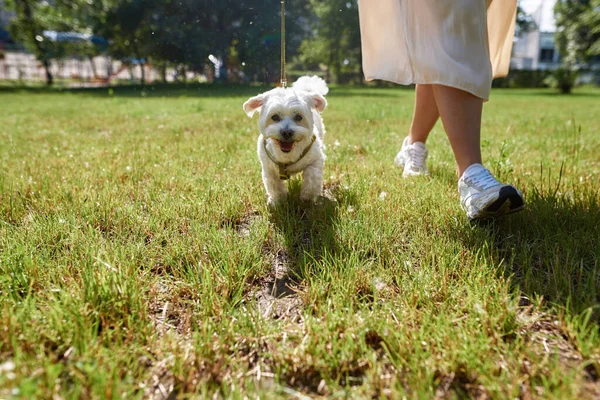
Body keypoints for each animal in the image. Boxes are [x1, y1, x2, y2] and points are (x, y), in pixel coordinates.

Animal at [243, 76, 328, 205]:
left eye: (298, 117)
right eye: (275, 117)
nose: (287, 132)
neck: (287, 155)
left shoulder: (316, 159)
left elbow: (312, 177)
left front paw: (307, 198)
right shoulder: (268, 168)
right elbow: (274, 185)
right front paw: (277, 201)